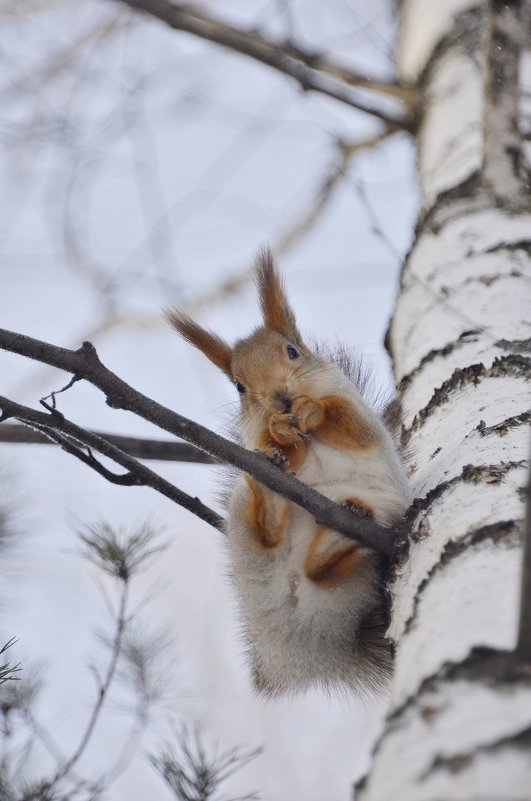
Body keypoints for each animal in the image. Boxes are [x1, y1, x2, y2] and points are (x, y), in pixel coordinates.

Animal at [166, 250, 412, 692]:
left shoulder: (360, 420)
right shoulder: (257, 438)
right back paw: (270, 501)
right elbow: (275, 445)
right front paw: (280, 436)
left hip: (385, 510)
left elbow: (350, 424)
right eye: (239, 386)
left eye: (293, 351)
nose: (280, 398)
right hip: (246, 522)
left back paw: (345, 528)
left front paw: (314, 409)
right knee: (267, 532)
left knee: (321, 565)